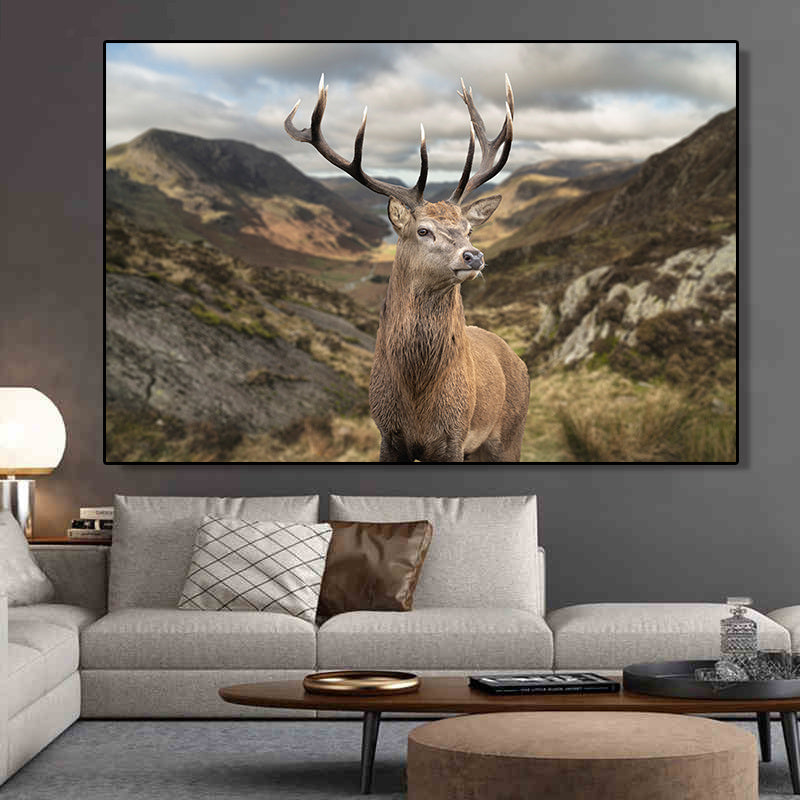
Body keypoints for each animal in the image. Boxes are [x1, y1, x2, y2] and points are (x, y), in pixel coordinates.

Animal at [285, 75, 530, 462]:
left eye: (469, 229)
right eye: (423, 230)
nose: (473, 256)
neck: (416, 396)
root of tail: (518, 360)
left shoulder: (453, 438)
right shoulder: (387, 434)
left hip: (509, 435)